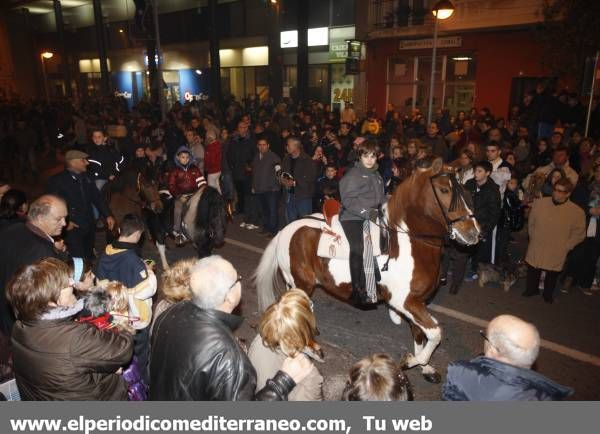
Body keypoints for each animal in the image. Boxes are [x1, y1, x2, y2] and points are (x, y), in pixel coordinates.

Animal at [255, 158, 480, 382]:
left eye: (465, 191)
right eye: (444, 190)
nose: (474, 233)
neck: (406, 244)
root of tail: (286, 229)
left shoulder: (418, 301)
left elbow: (419, 333)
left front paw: (425, 368)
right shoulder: (405, 301)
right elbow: (435, 332)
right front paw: (411, 361)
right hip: (303, 283)